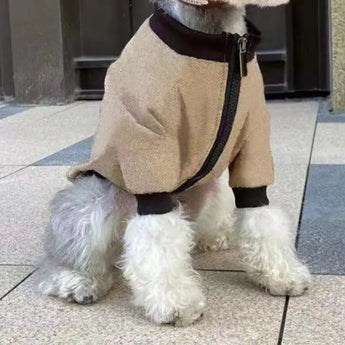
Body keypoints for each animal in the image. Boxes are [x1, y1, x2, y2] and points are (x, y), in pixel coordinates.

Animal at [39, 0, 310, 326]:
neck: (224, 48)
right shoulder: (148, 144)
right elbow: (158, 234)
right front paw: (175, 302)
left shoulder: (253, 138)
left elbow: (261, 214)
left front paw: (283, 274)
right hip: (93, 199)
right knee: (69, 256)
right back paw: (78, 281)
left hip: (213, 189)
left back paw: (213, 239)